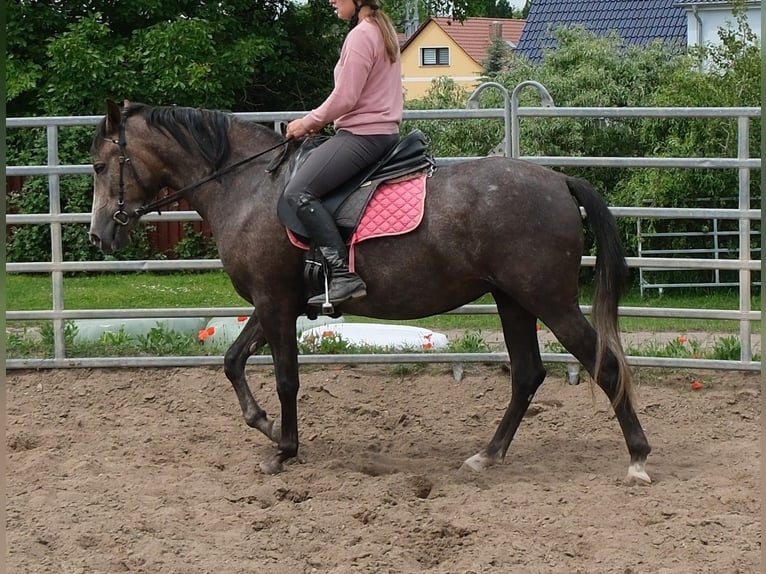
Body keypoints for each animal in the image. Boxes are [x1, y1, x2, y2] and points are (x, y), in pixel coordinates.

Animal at [88, 100, 651, 484]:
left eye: (97, 165)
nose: (99, 235)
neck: (249, 188)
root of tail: (558, 181)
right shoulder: (277, 305)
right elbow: (232, 361)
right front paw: (264, 426)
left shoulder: (274, 304)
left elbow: (286, 379)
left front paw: (284, 448)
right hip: (512, 301)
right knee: (528, 375)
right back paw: (487, 455)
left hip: (549, 301)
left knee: (602, 366)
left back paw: (638, 458)